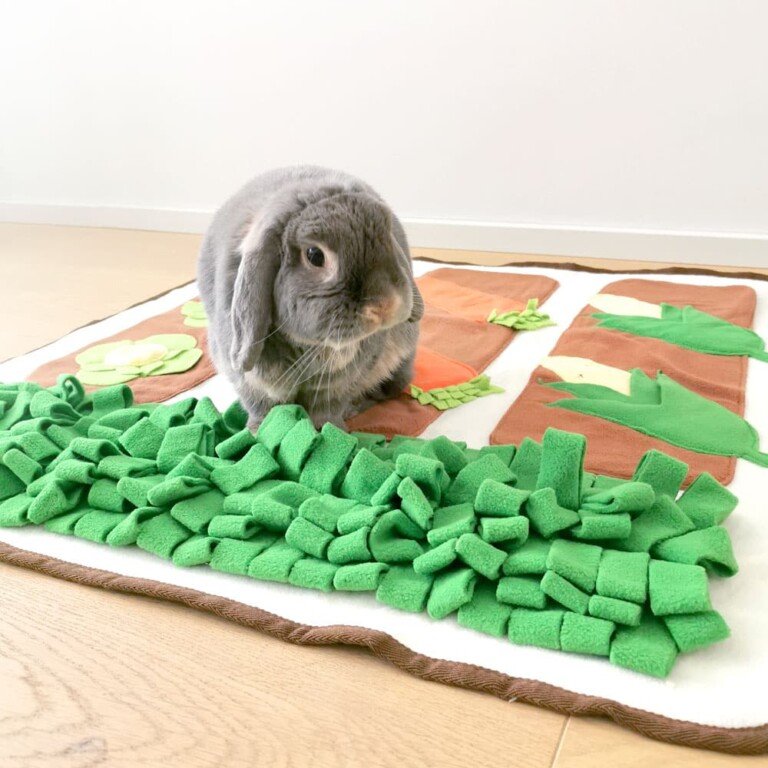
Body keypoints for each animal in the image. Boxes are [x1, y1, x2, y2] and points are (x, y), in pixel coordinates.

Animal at [198, 166, 424, 430]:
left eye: (387, 237)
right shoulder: (251, 381)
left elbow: (327, 408)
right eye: (315, 255)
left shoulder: (337, 384)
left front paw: (331, 429)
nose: (385, 304)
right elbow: (261, 406)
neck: (312, 346)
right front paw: (256, 431)